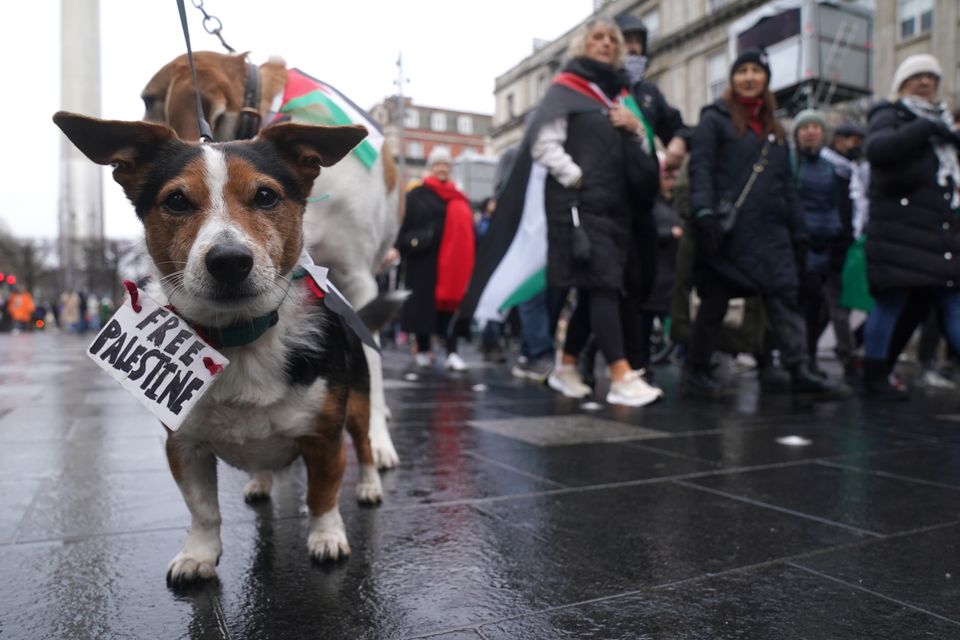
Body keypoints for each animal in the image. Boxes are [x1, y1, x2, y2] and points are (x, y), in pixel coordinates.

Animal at [53, 111, 394, 584]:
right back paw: (261, 482)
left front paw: (326, 536)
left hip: (359, 403)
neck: (241, 336)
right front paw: (198, 553)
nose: (229, 261)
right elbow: (203, 510)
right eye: (176, 201)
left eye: (266, 196)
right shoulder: (184, 447)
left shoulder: (323, 436)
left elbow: (323, 494)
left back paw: (368, 485)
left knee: (362, 445)